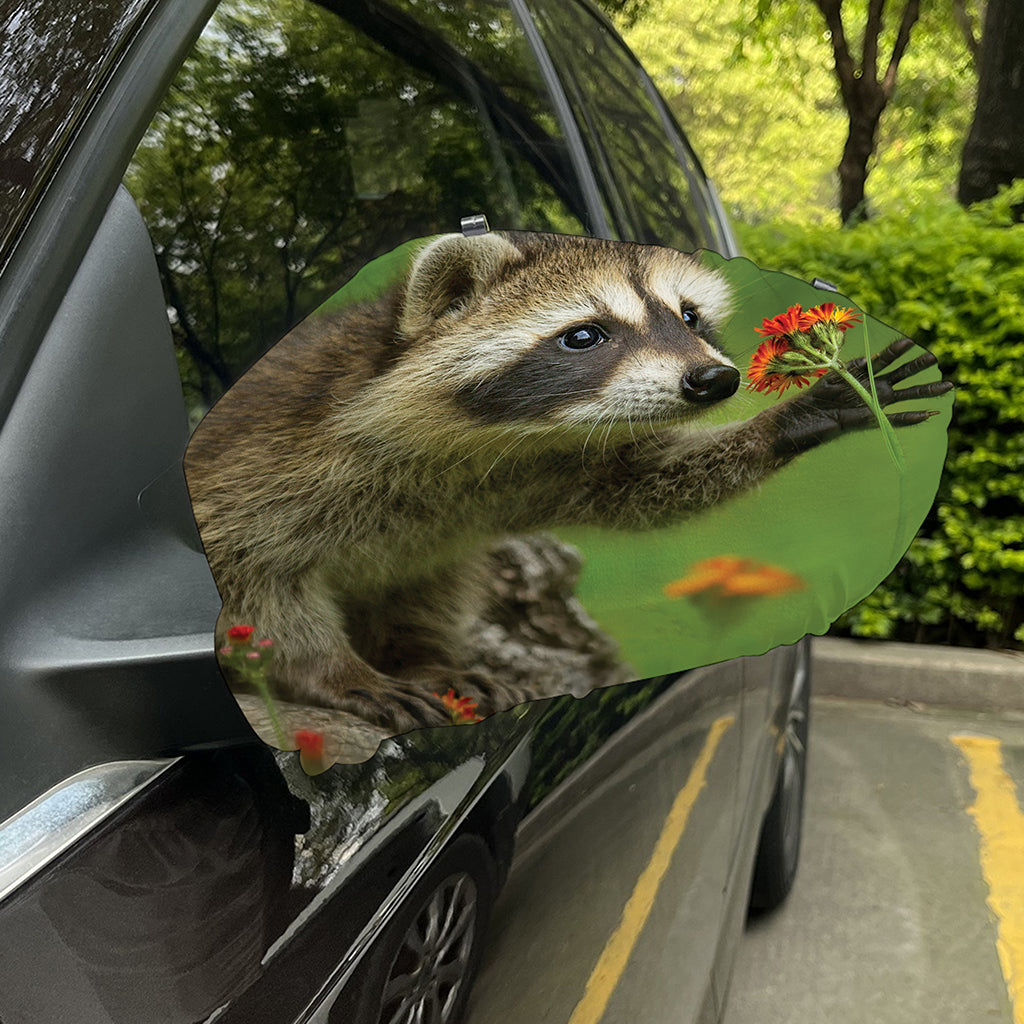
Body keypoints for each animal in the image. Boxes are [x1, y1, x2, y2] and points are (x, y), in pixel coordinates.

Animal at [185, 231, 951, 734]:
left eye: (689, 316)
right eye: (585, 335)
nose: (715, 379)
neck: (483, 443)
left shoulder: (539, 468)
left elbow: (636, 484)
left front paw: (789, 420)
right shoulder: (270, 463)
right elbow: (257, 581)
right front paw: (332, 670)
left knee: (437, 579)